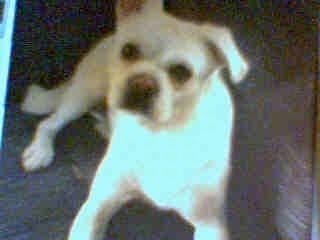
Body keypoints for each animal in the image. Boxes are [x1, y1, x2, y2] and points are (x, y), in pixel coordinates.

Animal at [20, 0, 250, 239]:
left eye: (181, 72)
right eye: (128, 50)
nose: (142, 83)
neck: (159, 134)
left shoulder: (210, 223)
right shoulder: (97, 204)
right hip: (84, 94)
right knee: (49, 123)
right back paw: (40, 151)